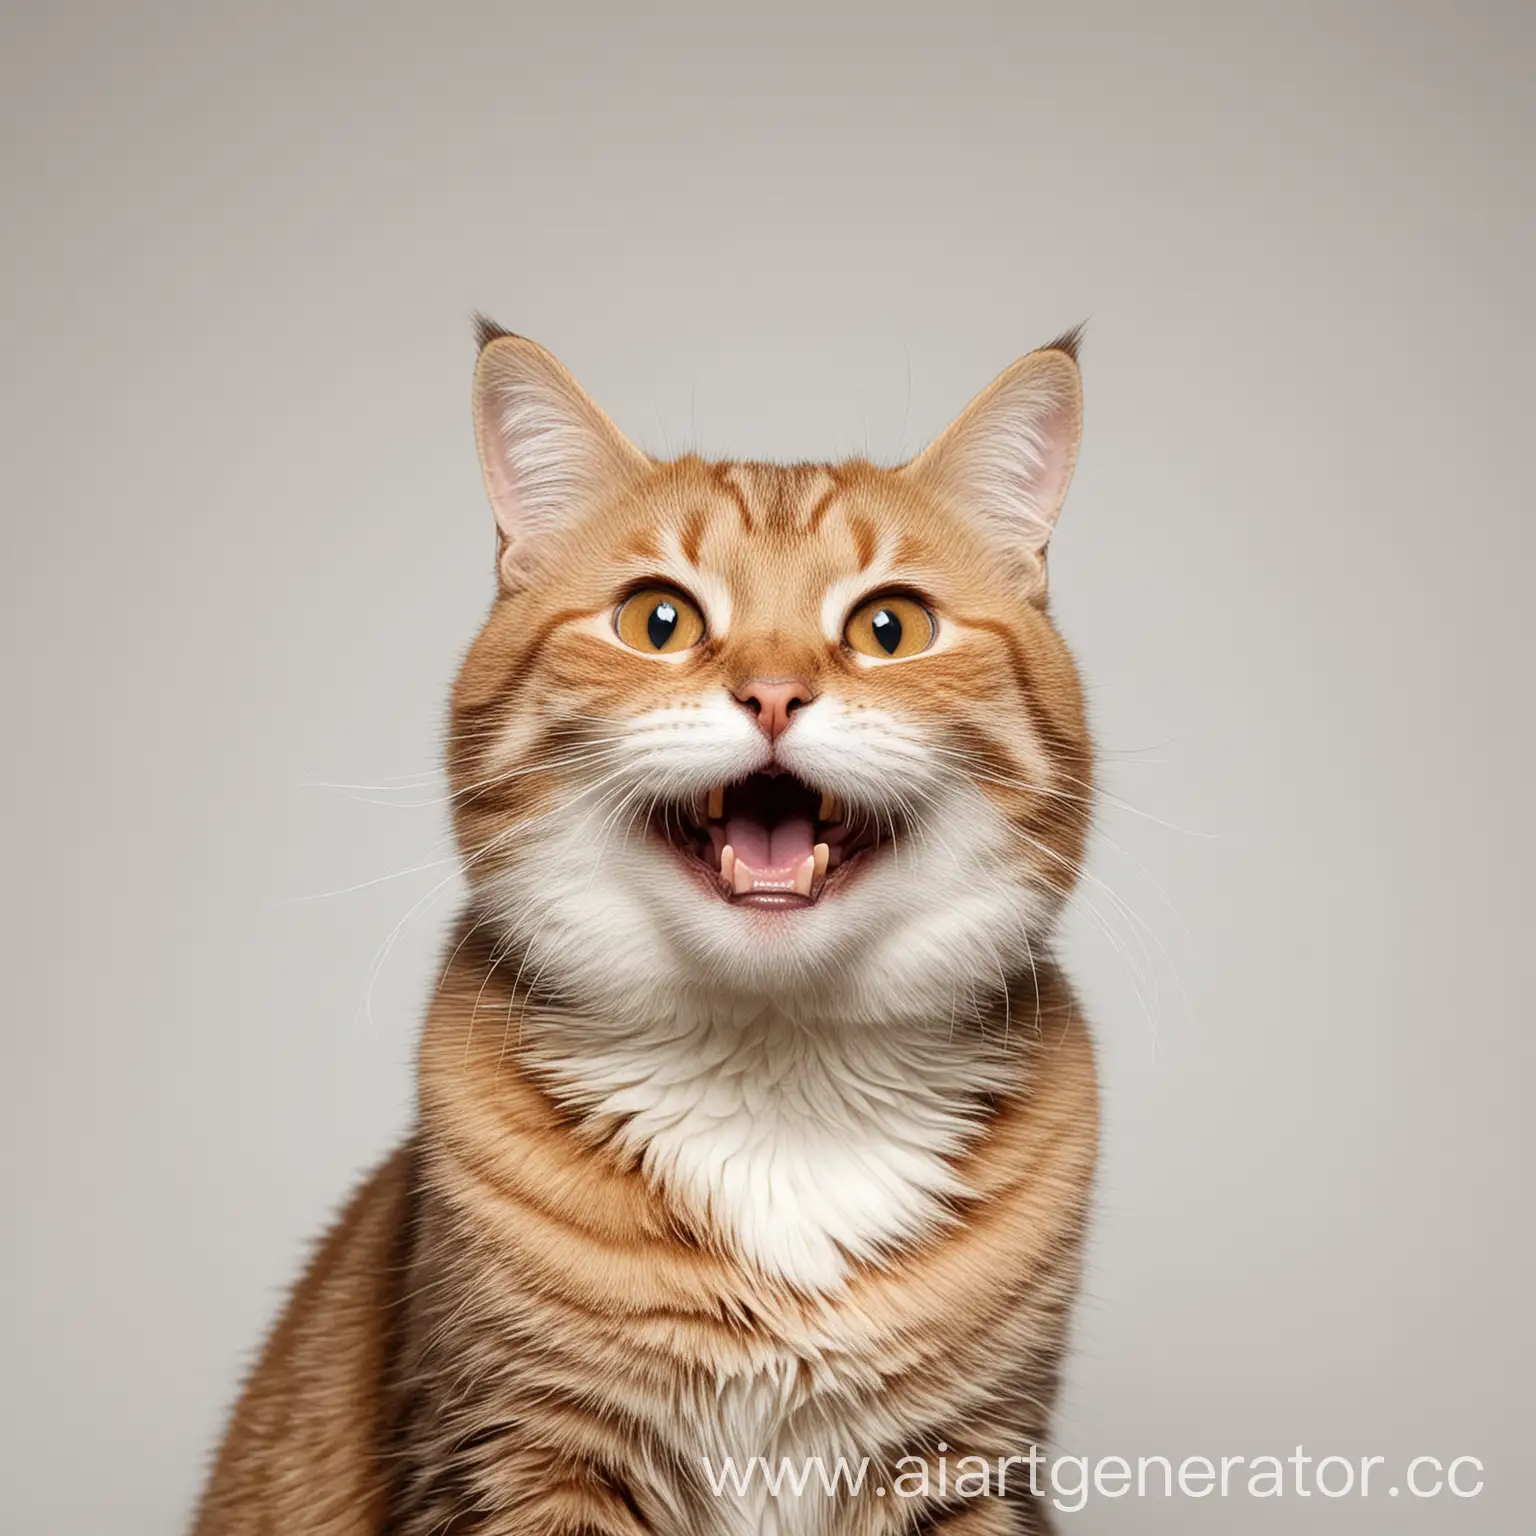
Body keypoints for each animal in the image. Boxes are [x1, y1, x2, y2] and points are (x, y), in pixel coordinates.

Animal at [192, 317, 1099, 1529]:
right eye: (657, 621)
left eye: (889, 625)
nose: (773, 693)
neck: (775, 1092)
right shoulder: (515, 1450)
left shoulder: (968, 1462)